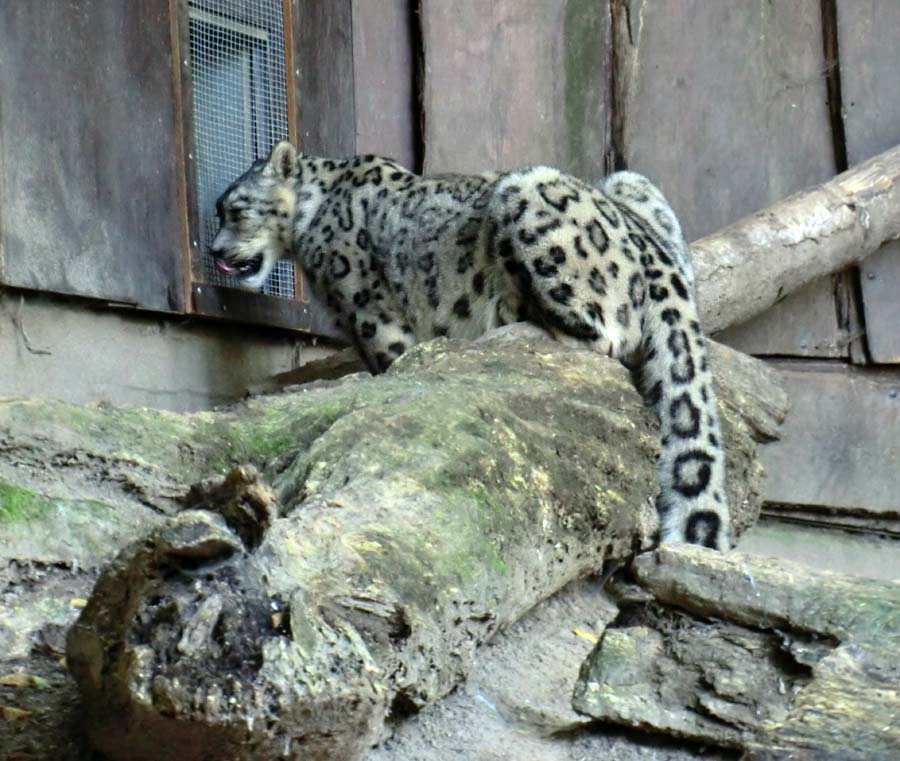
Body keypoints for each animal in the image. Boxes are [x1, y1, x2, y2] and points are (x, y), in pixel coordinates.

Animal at [209, 140, 732, 548]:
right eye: (220, 211)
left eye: (237, 210)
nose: (214, 252)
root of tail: (656, 253)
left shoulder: (372, 314)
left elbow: (392, 363)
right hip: (633, 183)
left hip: (528, 193)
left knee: (604, 332)